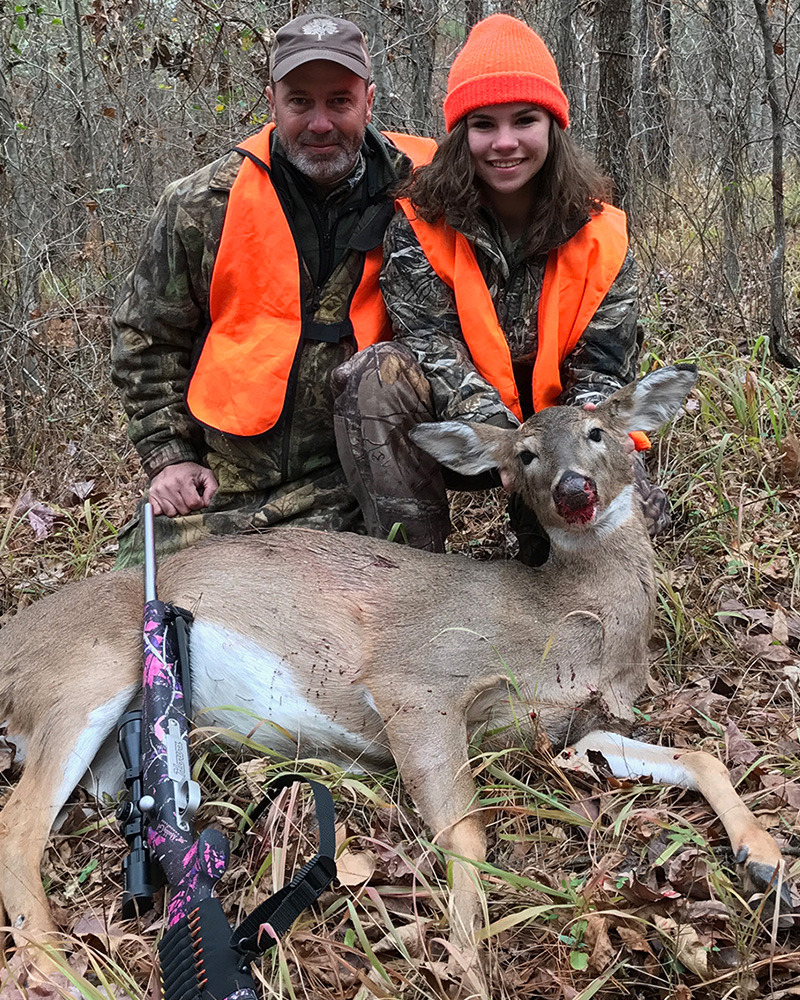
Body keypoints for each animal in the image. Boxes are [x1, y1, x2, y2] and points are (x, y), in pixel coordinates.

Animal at [0, 364, 789, 996]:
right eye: (525, 453)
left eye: (599, 431)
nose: (573, 490)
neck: (567, 622)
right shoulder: (417, 680)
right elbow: (467, 836)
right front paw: (468, 967)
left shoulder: (575, 729)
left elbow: (700, 753)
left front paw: (766, 859)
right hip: (86, 675)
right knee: (17, 823)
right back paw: (59, 971)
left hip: (112, 756)